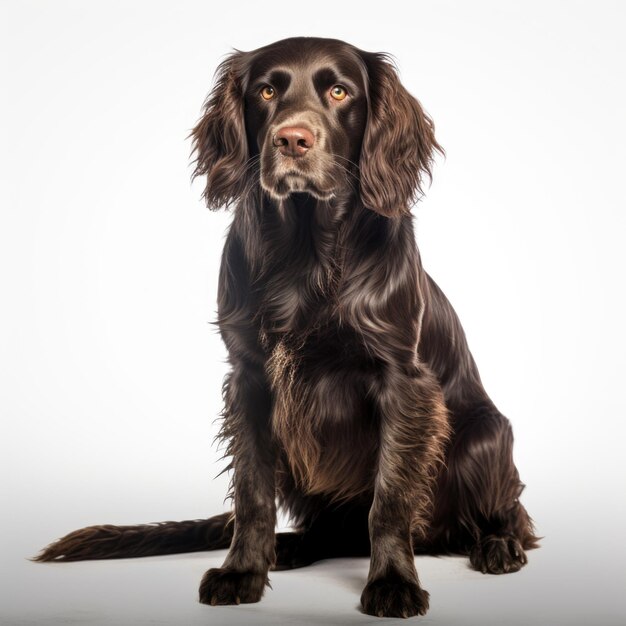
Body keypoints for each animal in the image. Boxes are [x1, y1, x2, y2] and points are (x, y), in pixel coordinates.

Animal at [37, 36, 536, 616]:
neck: (305, 252)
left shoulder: (403, 383)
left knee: (508, 515)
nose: (292, 139)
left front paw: (393, 582)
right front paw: (242, 572)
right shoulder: (250, 380)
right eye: (266, 91)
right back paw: (291, 546)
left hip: (485, 437)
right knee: (331, 530)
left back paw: (496, 544)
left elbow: (389, 499)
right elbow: (253, 494)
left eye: (340, 91)